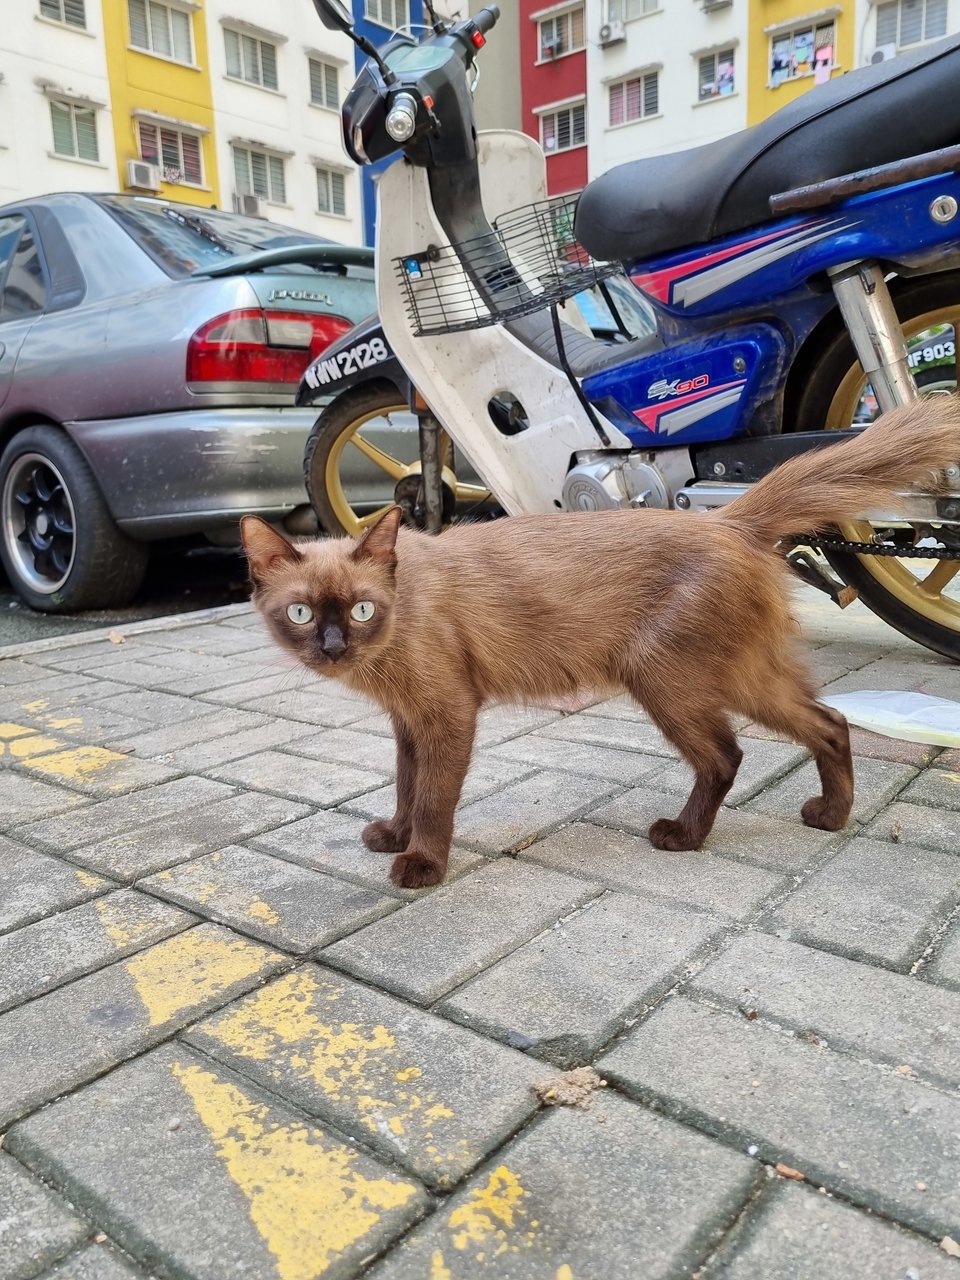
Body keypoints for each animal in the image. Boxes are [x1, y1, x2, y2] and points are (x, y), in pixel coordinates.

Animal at [241, 394, 960, 885]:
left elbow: (435, 798)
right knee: (829, 722)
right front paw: (395, 834)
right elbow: (404, 784)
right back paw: (831, 816)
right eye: (301, 613)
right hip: (743, 675)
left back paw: (682, 835)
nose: (333, 646)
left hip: (668, 679)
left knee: (727, 756)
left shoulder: (447, 714)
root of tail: (728, 521)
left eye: (362, 608)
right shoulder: (409, 723)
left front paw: (422, 864)